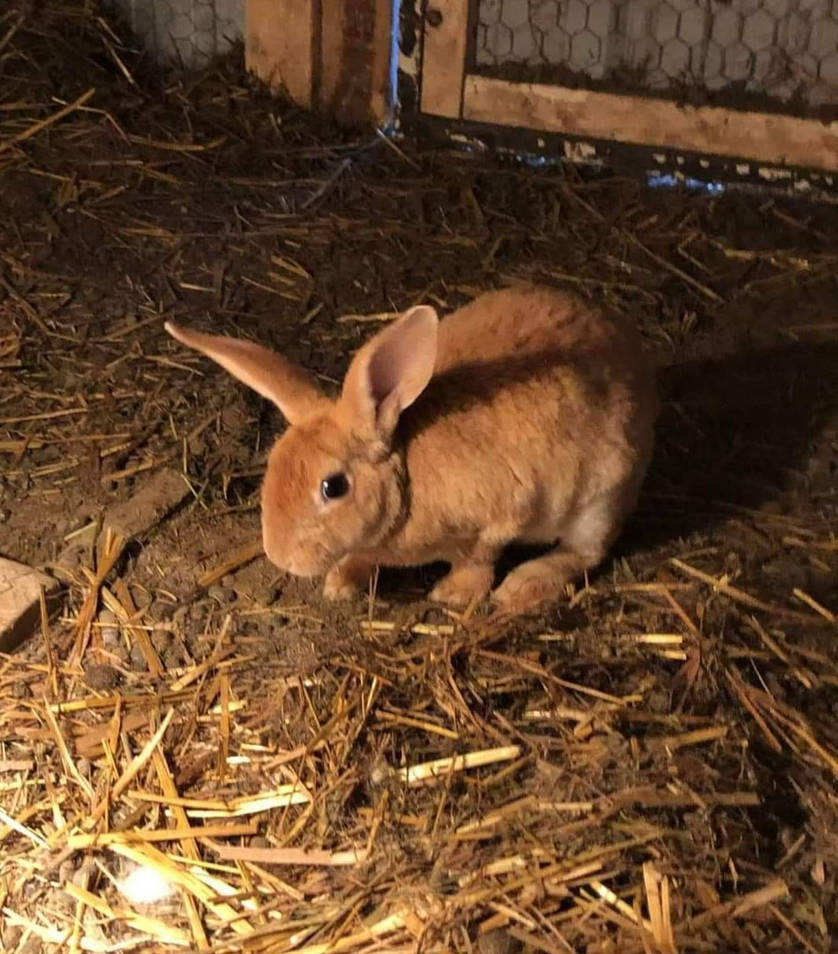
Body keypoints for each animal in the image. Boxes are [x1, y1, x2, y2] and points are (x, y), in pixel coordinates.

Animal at [165, 284, 658, 612]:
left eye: (333, 487)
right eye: (272, 467)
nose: (279, 556)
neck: (407, 481)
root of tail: (630, 346)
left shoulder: (501, 516)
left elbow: (480, 556)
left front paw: (454, 594)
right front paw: (341, 584)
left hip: (601, 497)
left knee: (586, 552)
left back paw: (522, 587)